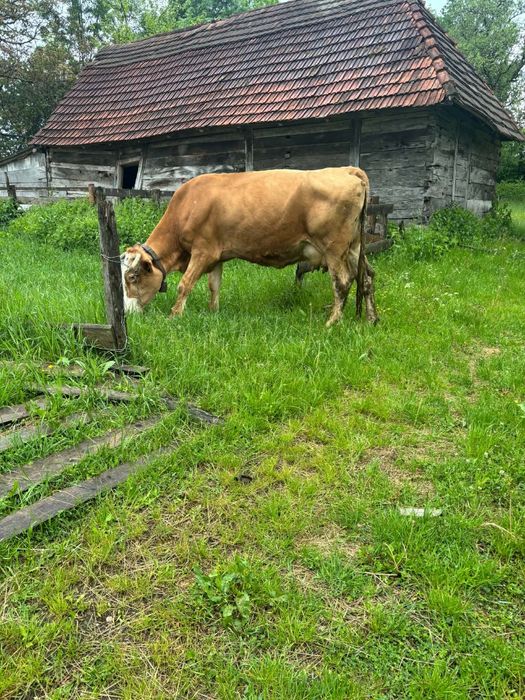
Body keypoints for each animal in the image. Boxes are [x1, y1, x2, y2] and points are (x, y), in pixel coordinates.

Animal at [121, 167, 378, 326]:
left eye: (132, 277)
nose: (127, 313)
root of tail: (347, 169)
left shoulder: (202, 251)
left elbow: (185, 285)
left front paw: (174, 316)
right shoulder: (216, 254)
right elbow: (214, 285)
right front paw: (213, 312)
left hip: (334, 247)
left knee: (342, 282)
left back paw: (332, 322)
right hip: (354, 247)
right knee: (367, 278)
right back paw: (371, 319)